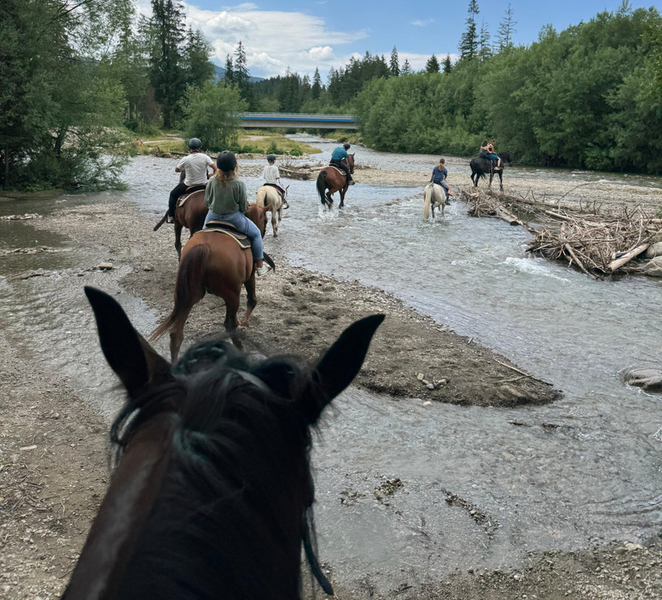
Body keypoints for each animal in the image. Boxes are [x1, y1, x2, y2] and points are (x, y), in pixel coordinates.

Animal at [150, 203, 275, 361]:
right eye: (265, 220)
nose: (262, 233)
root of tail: (204, 247)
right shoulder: (249, 276)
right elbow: (252, 300)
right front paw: (245, 322)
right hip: (231, 295)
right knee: (230, 324)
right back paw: (241, 348)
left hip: (187, 296)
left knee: (176, 333)